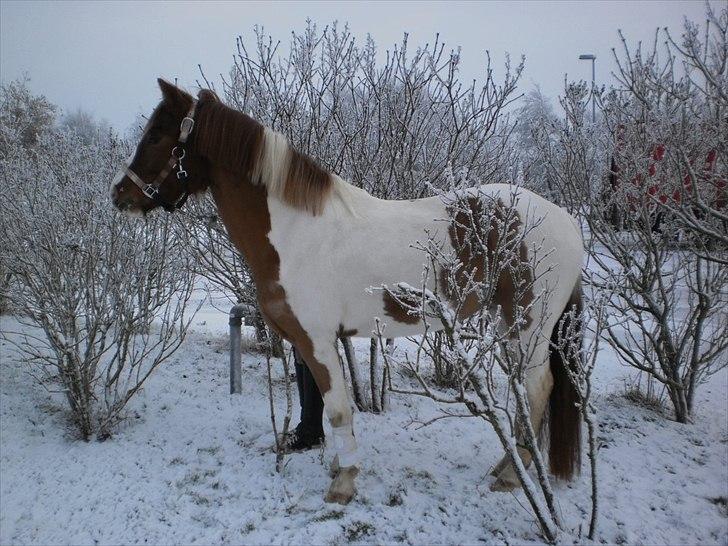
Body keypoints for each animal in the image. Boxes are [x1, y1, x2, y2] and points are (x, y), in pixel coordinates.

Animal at [109, 78, 584, 504]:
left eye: (157, 135)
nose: (120, 194)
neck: (296, 231)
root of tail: (566, 220)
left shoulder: (317, 339)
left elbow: (337, 406)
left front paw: (344, 483)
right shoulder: (315, 339)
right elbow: (324, 402)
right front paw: (337, 464)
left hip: (529, 326)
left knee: (537, 387)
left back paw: (511, 474)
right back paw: (509, 465)